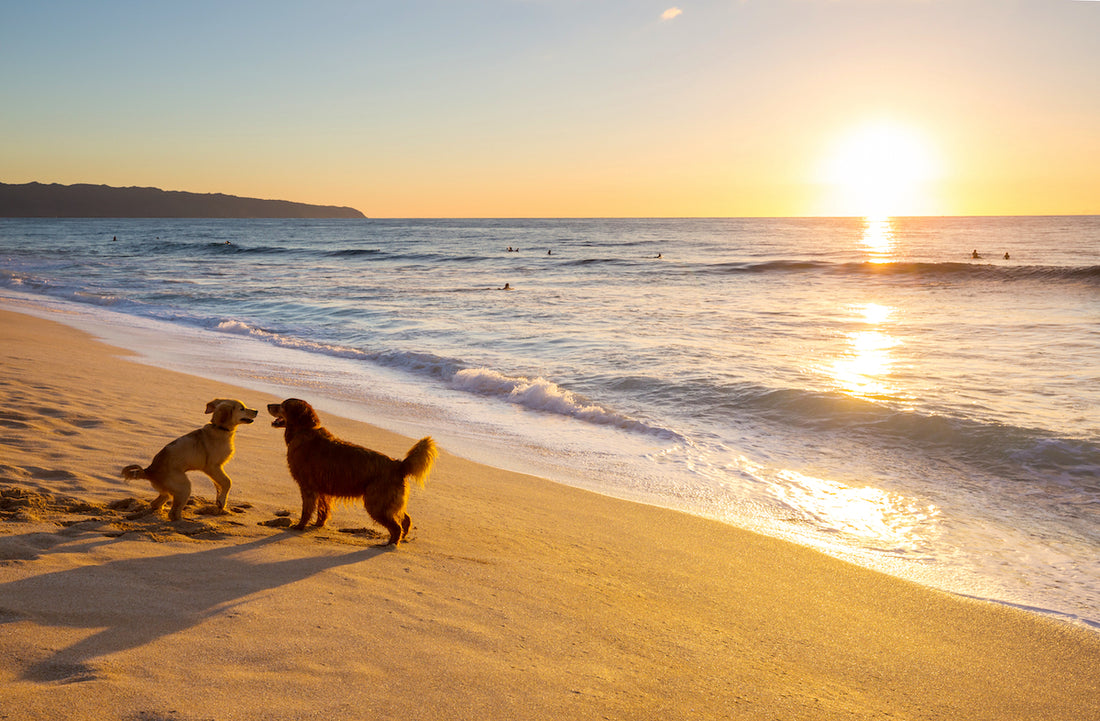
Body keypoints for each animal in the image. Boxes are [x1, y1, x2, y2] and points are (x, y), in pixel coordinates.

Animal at [121, 400, 258, 519]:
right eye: (242, 408)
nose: (256, 411)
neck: (219, 428)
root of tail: (148, 470)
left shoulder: (217, 469)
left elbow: (219, 484)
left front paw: (220, 501)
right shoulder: (212, 467)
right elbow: (227, 482)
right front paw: (221, 501)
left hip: (170, 489)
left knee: (157, 503)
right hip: (183, 486)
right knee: (173, 513)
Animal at [267, 398, 437, 543]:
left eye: (283, 405)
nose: (268, 405)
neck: (304, 431)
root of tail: (398, 465)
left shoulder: (308, 487)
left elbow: (306, 511)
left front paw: (300, 526)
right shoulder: (322, 490)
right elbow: (323, 511)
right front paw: (318, 525)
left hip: (376, 503)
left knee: (396, 527)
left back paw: (389, 544)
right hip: (388, 503)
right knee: (406, 519)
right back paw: (402, 539)